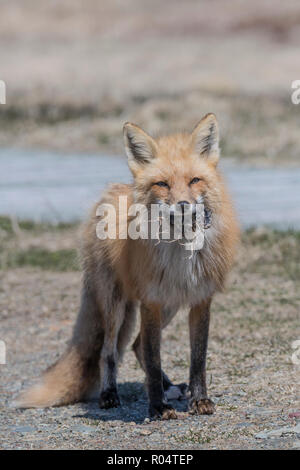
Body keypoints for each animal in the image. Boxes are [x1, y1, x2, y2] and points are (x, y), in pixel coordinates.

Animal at [15, 113, 239, 418]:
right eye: (162, 184)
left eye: (195, 180)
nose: (183, 205)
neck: (180, 248)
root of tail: (110, 192)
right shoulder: (150, 301)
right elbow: (153, 359)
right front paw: (158, 407)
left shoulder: (200, 299)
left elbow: (198, 359)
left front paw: (199, 400)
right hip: (116, 304)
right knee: (109, 351)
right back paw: (110, 394)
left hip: (169, 304)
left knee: (135, 345)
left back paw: (169, 388)